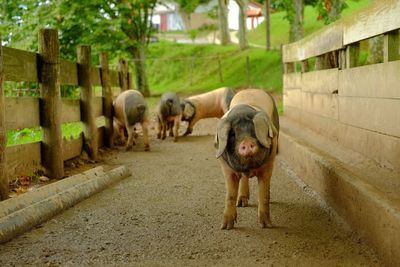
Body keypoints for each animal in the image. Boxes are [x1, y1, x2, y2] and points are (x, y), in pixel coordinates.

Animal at [214, 88, 280, 230]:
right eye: (233, 134)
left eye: (254, 130)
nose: (247, 141)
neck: (248, 168)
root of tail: (251, 89)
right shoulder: (226, 169)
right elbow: (230, 195)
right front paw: (225, 227)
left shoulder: (268, 164)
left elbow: (263, 194)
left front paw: (266, 226)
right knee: (243, 181)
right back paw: (241, 203)